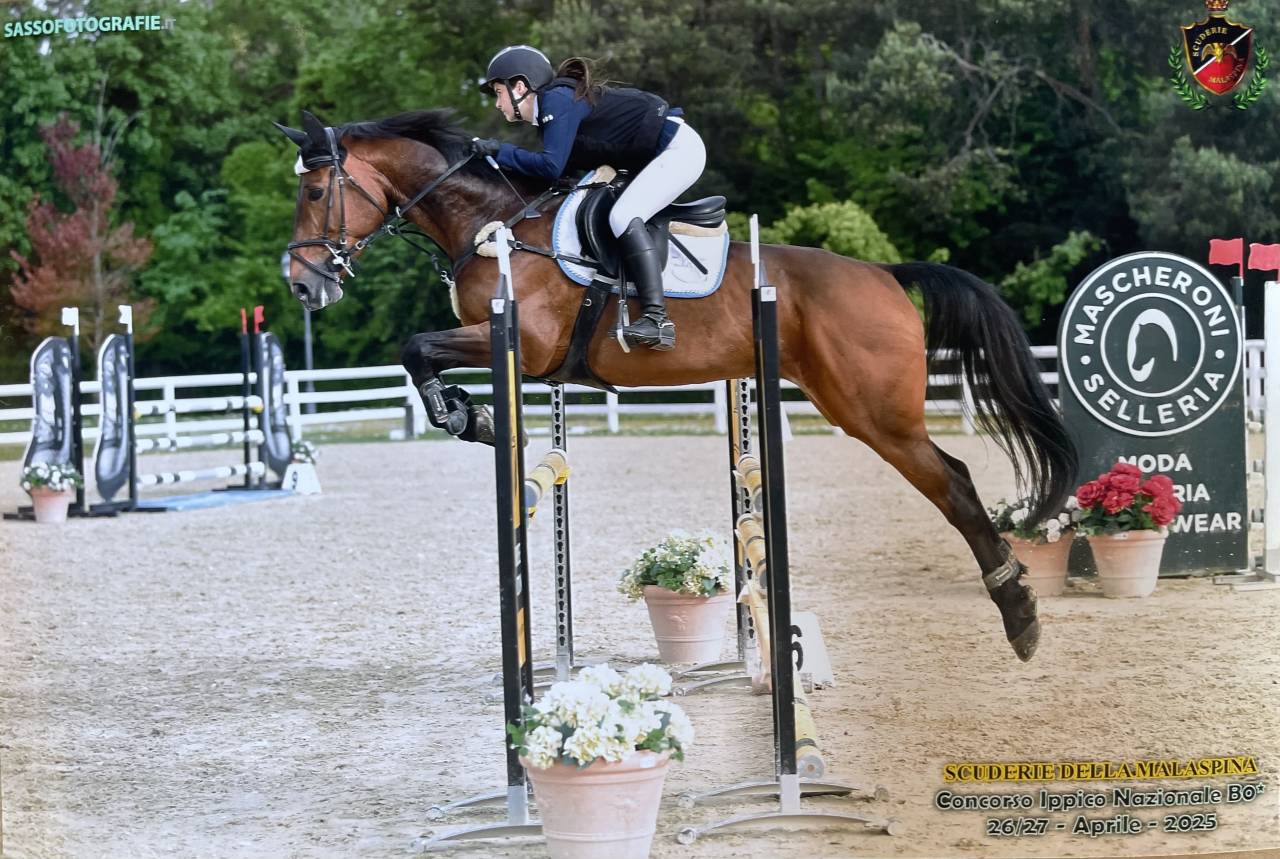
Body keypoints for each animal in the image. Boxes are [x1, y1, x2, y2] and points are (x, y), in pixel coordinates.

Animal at [276, 109, 1078, 663]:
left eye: (315, 191)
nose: (303, 285)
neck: (494, 221)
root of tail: (884, 273)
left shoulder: (522, 344)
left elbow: (415, 348)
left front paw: (465, 417)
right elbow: (419, 353)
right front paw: (469, 415)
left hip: (876, 415)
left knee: (954, 481)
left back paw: (1021, 613)